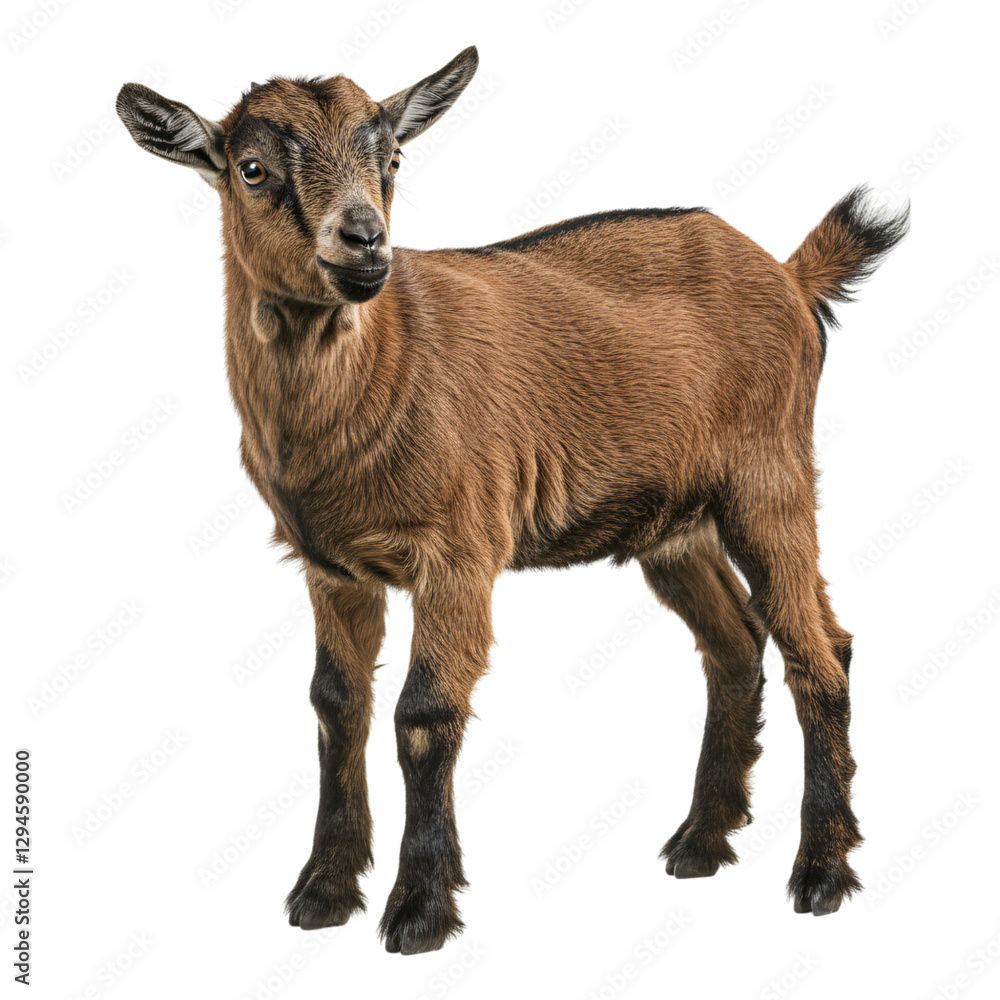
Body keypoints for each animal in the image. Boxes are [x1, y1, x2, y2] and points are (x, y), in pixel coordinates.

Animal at [116, 46, 908, 954]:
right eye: (252, 169)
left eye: (393, 160)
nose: (365, 240)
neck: (386, 361)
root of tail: (787, 272)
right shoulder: (331, 566)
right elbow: (335, 705)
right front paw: (321, 892)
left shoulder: (459, 551)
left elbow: (424, 713)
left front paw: (420, 908)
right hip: (672, 525)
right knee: (738, 643)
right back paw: (702, 842)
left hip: (768, 478)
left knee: (818, 649)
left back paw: (821, 872)